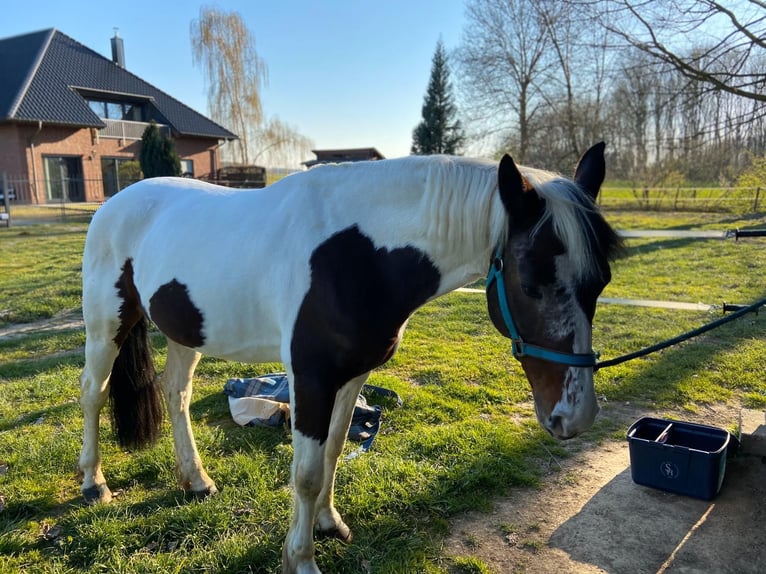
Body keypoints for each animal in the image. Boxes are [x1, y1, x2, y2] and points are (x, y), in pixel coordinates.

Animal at [76, 142, 624, 572]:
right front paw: (300, 560)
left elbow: (335, 451)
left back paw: (195, 479)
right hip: (106, 326)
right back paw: (94, 483)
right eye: (530, 284)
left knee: (177, 394)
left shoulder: (354, 374)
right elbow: (305, 472)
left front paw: (329, 522)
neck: (360, 255)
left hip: (185, 333)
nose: (575, 417)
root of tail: (114, 203)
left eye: (601, 282)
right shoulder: (310, 378)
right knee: (93, 393)